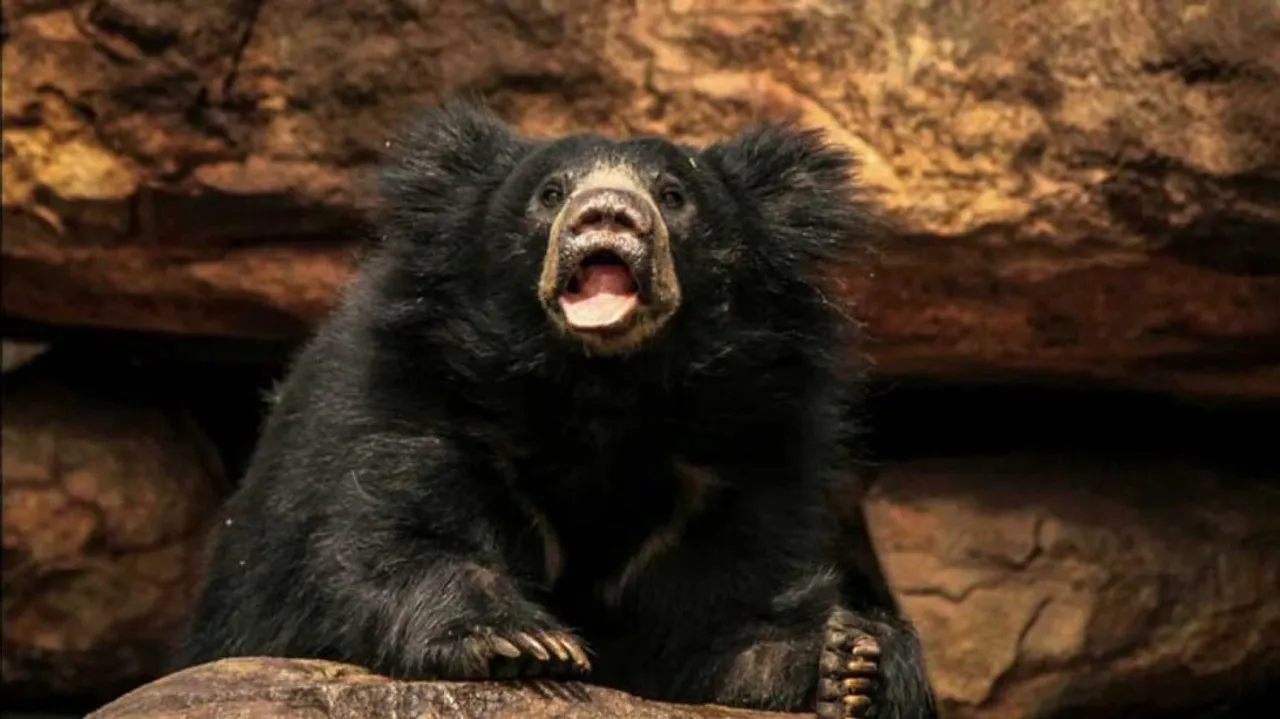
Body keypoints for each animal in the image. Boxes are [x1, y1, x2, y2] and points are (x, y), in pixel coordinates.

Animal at [173, 99, 937, 719]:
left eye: (673, 194)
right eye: (551, 193)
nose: (609, 212)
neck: (600, 391)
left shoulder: (751, 443)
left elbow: (715, 612)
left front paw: (851, 662)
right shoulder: (408, 393)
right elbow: (383, 543)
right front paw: (526, 642)